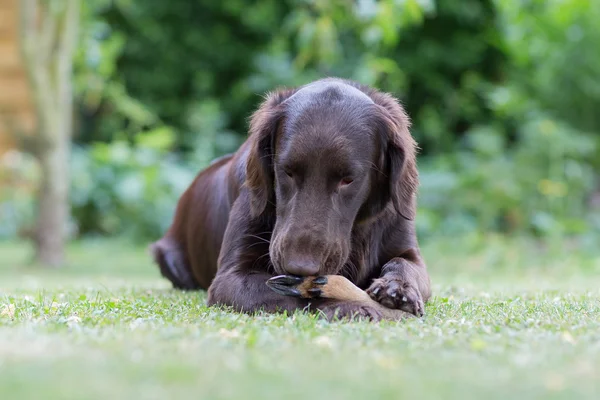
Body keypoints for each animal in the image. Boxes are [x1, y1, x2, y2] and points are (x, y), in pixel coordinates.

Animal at [150, 77, 432, 322]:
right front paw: (347, 306)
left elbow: (405, 264)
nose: (299, 266)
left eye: (348, 179)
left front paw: (398, 288)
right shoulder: (229, 278)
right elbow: (299, 294)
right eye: (287, 171)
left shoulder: (408, 250)